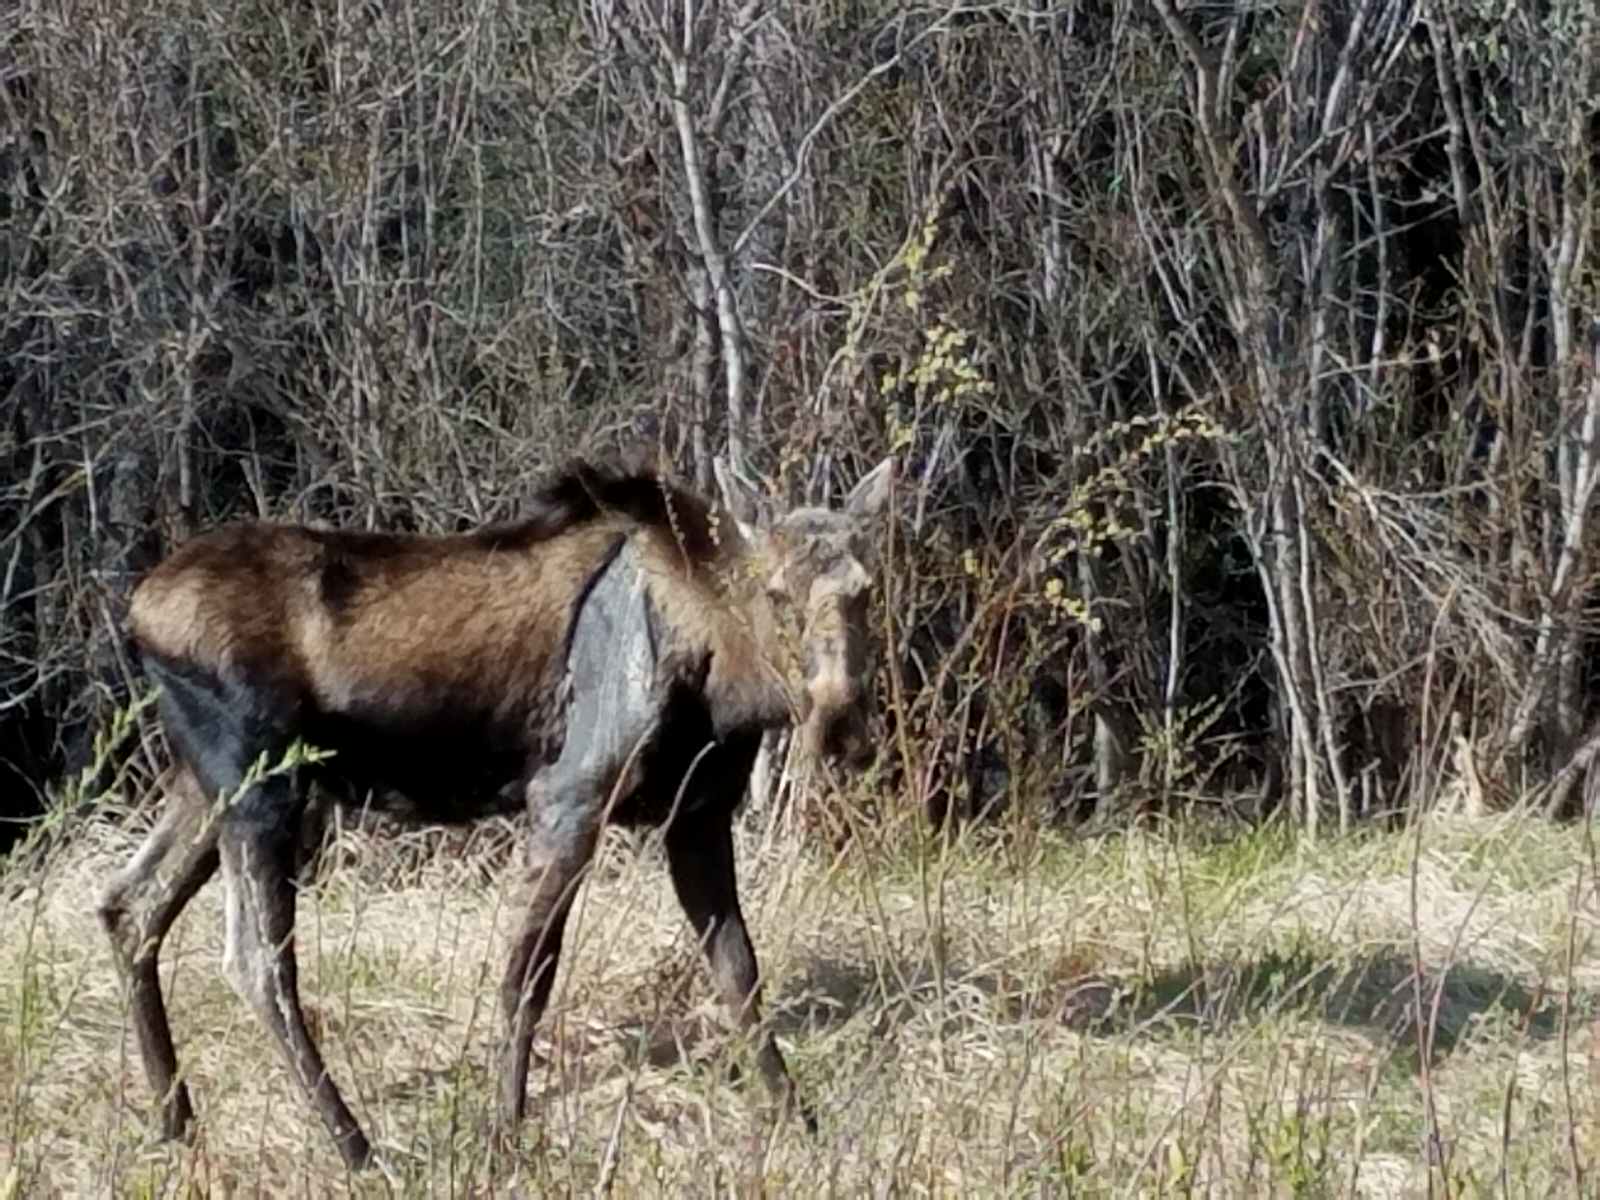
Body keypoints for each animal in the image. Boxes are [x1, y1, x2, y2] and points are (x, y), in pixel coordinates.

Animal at [96, 454, 902, 1171]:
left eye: (866, 589)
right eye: (778, 593)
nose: (843, 721)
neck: (725, 677)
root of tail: (137, 615)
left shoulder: (696, 818)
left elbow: (740, 975)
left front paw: (801, 1121)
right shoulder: (571, 798)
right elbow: (527, 981)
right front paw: (506, 1138)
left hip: (203, 789)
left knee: (128, 904)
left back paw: (175, 1122)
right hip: (262, 787)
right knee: (256, 961)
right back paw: (356, 1150)